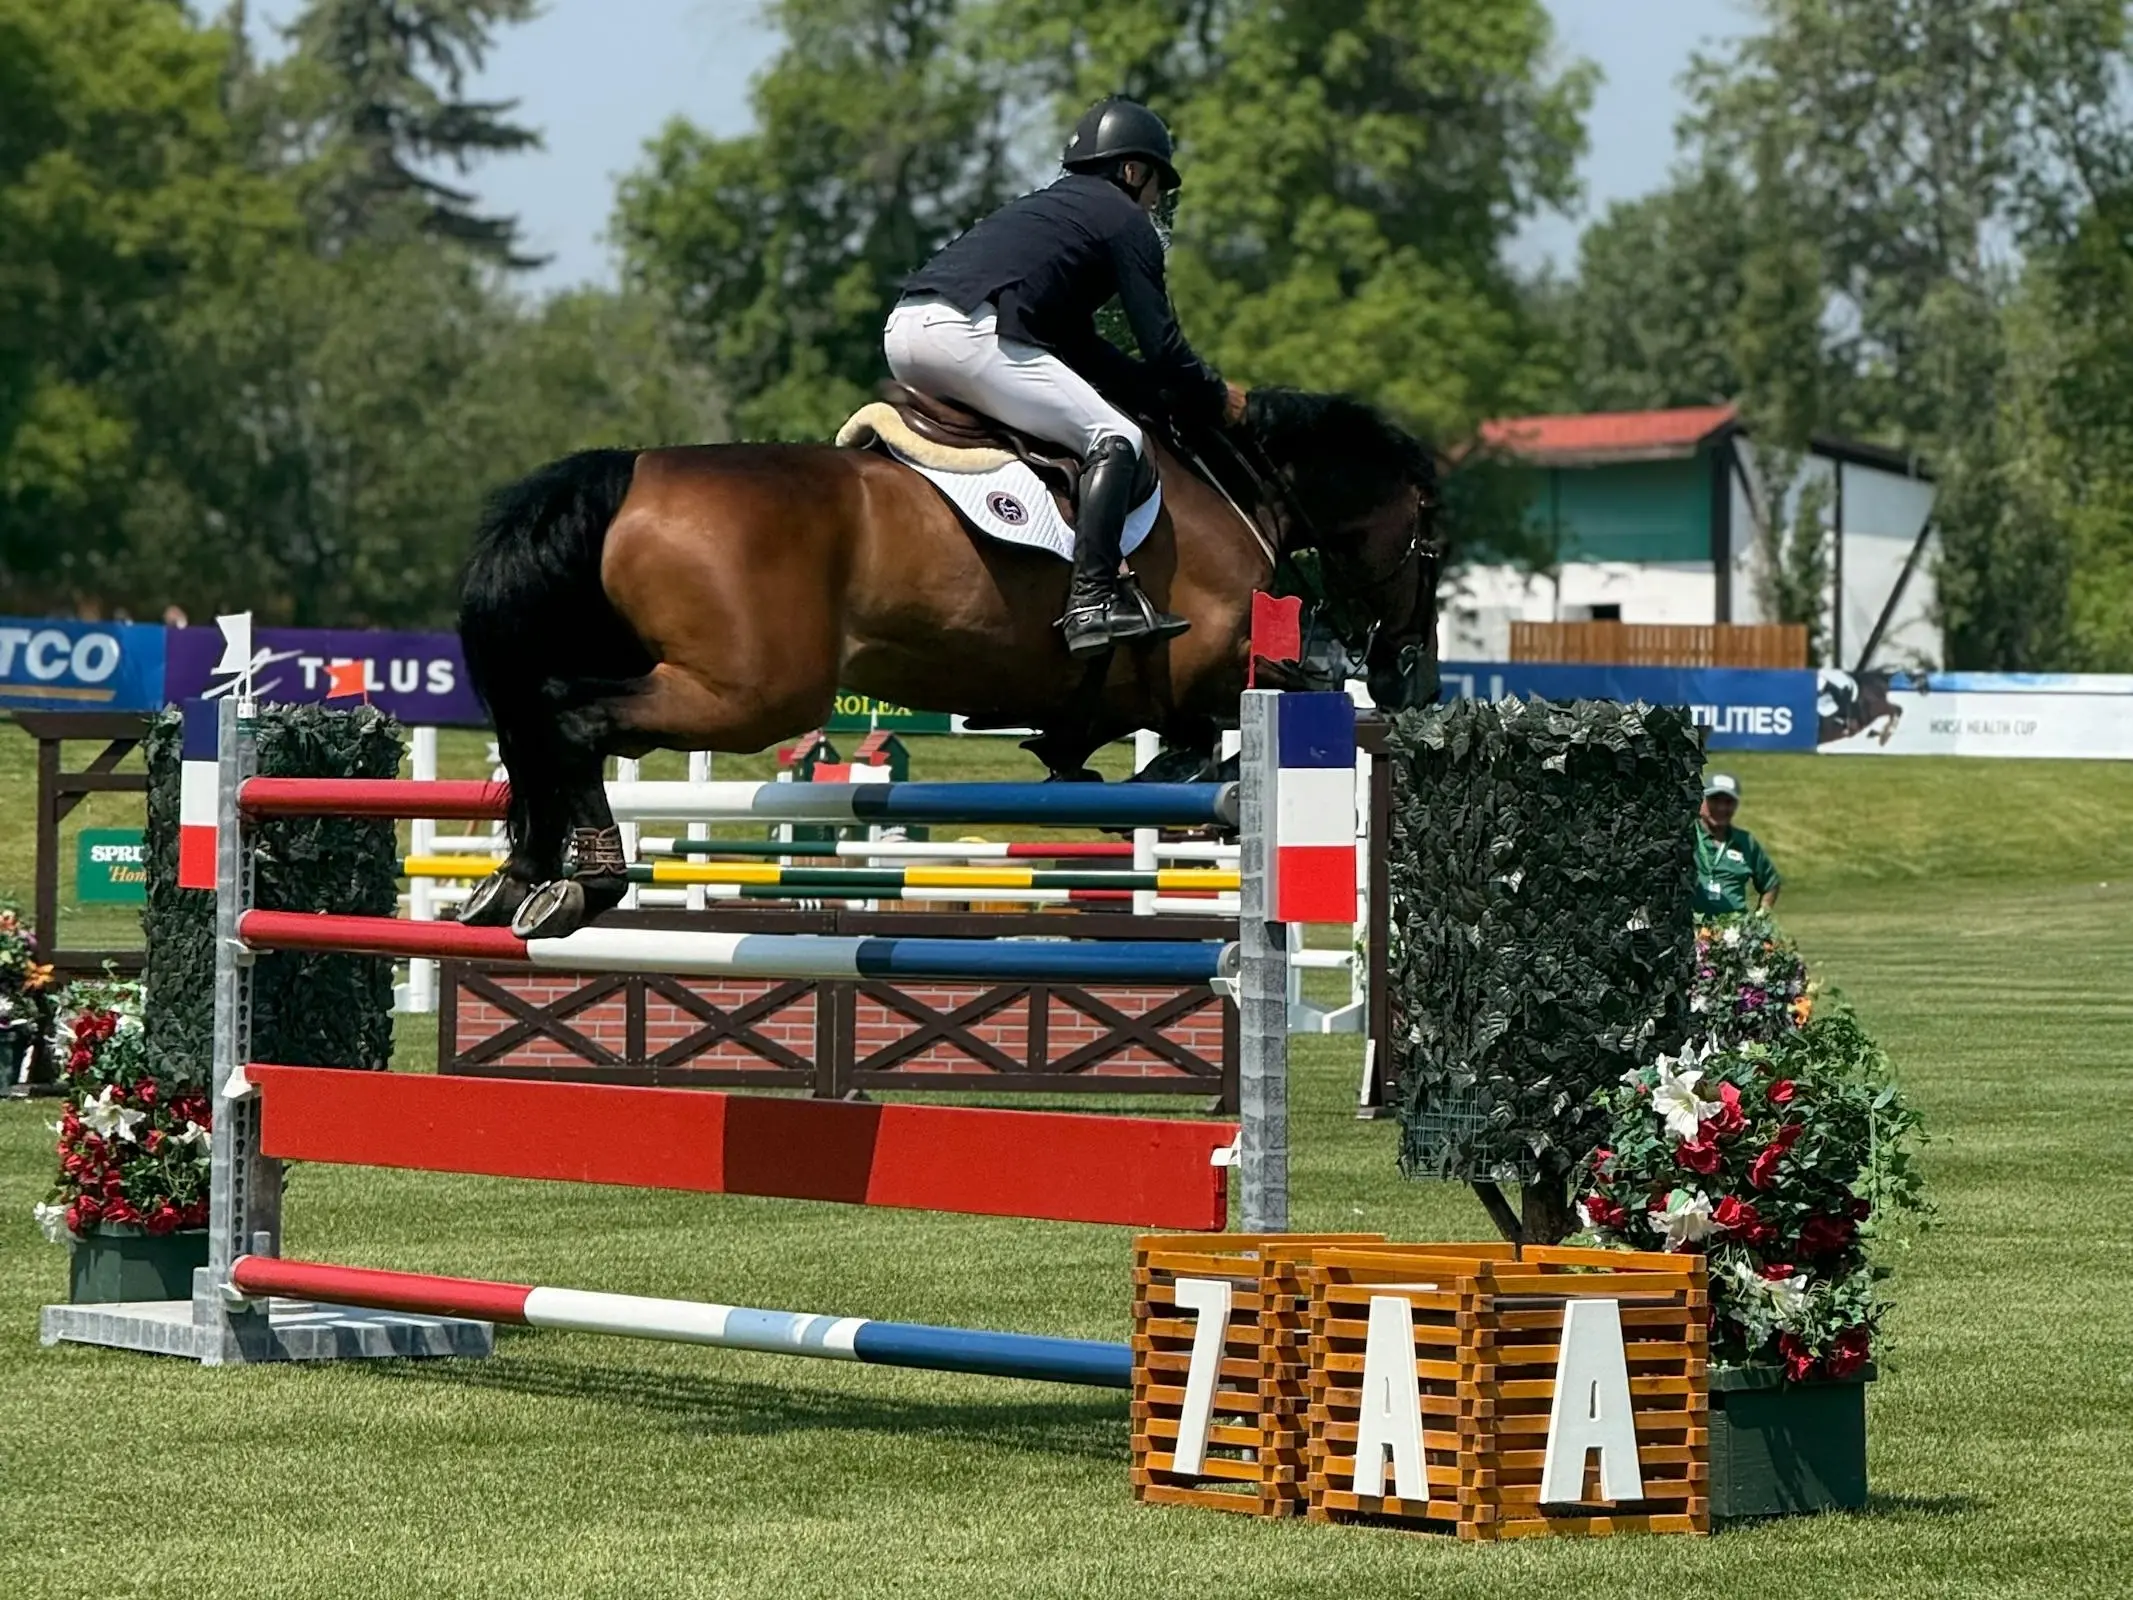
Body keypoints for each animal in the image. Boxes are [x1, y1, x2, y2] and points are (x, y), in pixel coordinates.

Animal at [456, 387, 1441, 937]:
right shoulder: (1218, 655)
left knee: (537, 718)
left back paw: (517, 882)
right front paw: (1173, 768)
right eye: (1432, 541)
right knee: (571, 718)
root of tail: (627, 473)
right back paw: (585, 882)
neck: (1236, 486)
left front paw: (1122, 766)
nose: (1416, 679)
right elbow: (1275, 690)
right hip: (749, 695)